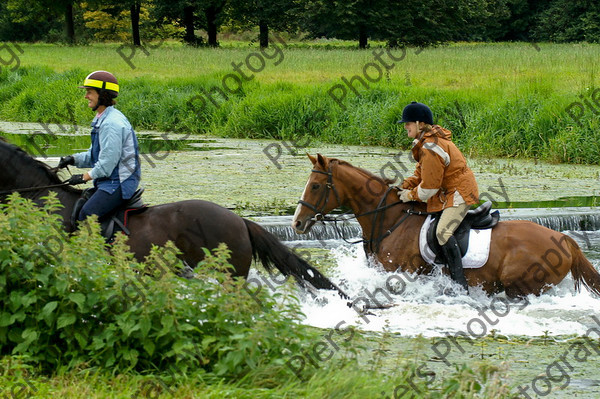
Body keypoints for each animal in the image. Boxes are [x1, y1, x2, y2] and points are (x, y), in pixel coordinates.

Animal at [292, 155, 600, 298]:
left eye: (316, 185)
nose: (297, 222)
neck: (391, 220)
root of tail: (564, 239)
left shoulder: (400, 275)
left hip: (522, 287)